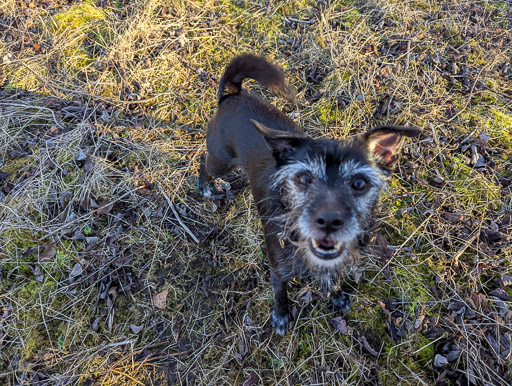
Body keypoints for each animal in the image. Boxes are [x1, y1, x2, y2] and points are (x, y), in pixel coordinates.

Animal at [199, 54, 420, 334]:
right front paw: (281, 316)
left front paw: (335, 296)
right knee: (203, 162)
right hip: (220, 162)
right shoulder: (278, 272)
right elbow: (280, 295)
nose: (329, 221)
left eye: (359, 183)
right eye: (303, 179)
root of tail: (231, 95)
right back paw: (205, 187)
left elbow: (333, 280)